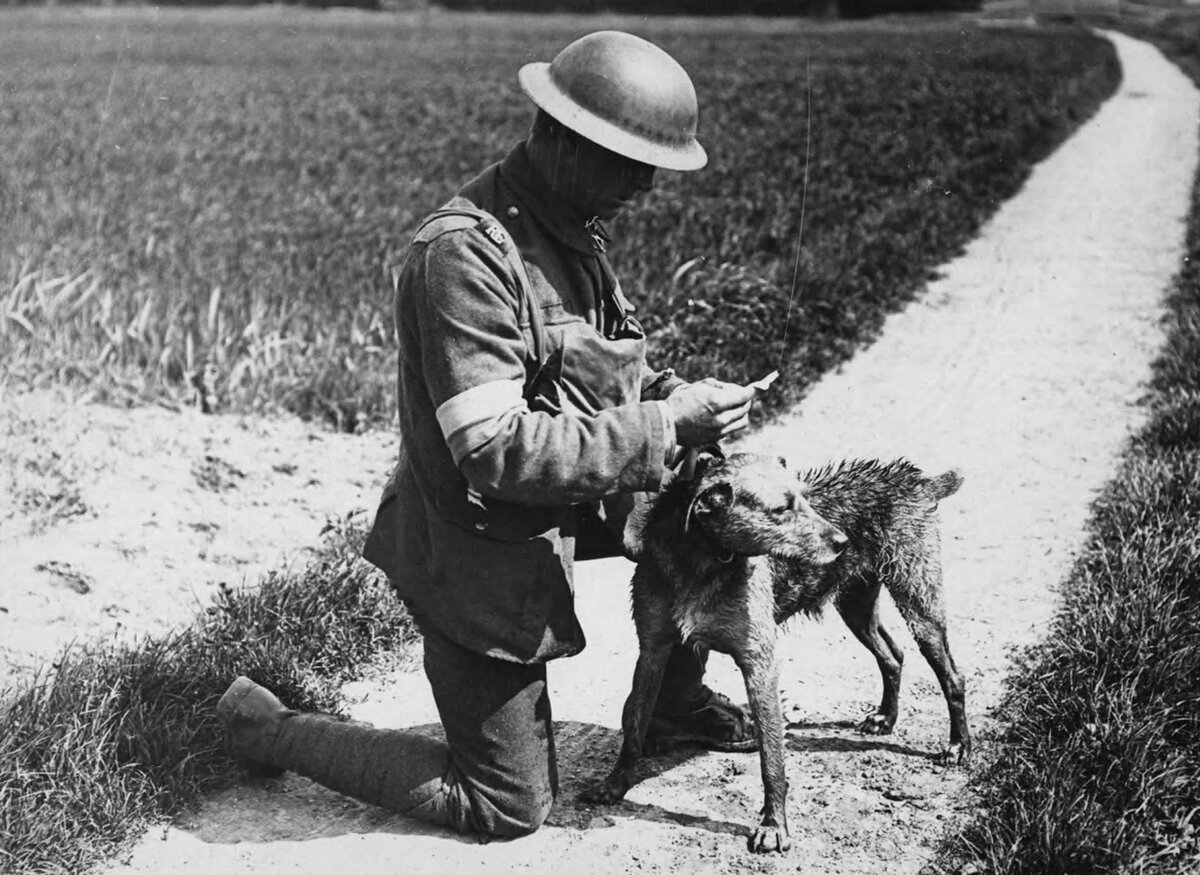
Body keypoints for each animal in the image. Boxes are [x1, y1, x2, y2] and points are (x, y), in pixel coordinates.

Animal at [585, 451, 969, 854]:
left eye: (804, 499)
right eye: (782, 508)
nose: (843, 541)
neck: (702, 561)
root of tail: (916, 481)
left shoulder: (759, 664)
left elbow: (772, 760)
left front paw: (773, 826)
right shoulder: (652, 652)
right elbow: (634, 721)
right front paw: (615, 783)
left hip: (920, 605)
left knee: (952, 676)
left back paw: (958, 746)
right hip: (856, 604)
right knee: (892, 655)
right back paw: (885, 717)